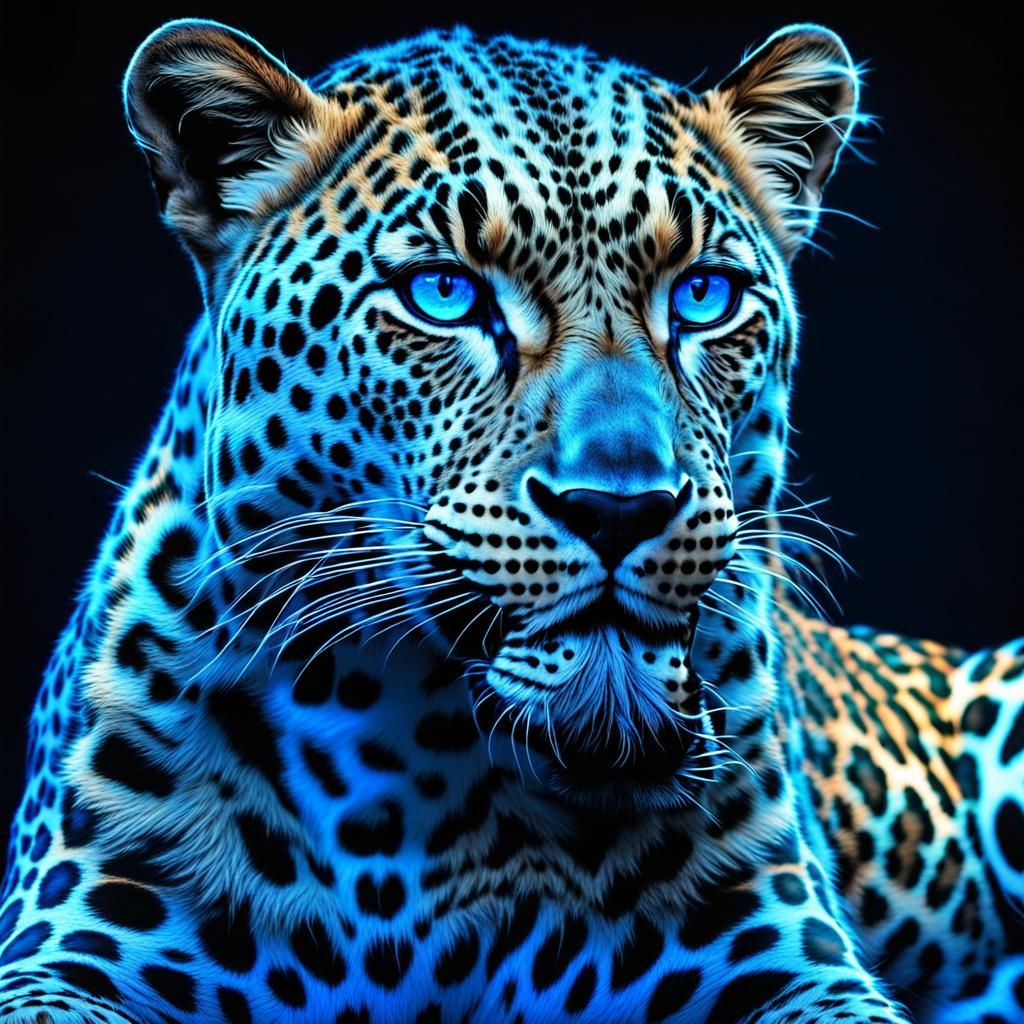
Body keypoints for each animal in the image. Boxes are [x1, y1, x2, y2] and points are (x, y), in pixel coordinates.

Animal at [1, 18, 1021, 1024]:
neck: (413, 767)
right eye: (445, 293)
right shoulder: (68, 944)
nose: (619, 508)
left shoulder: (789, 954)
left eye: (703, 296)